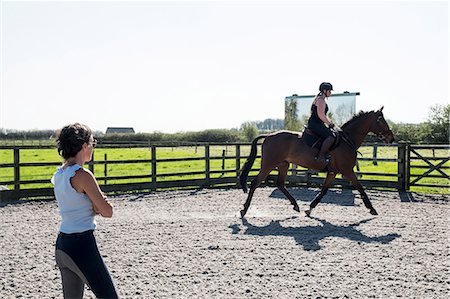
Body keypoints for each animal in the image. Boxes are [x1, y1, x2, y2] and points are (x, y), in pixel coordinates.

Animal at [239, 107, 394, 218]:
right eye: (380, 120)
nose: (391, 138)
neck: (347, 140)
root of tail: (268, 136)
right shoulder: (348, 171)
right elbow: (361, 188)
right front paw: (372, 209)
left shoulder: (332, 172)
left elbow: (323, 191)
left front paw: (309, 208)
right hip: (268, 164)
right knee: (255, 183)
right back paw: (244, 210)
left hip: (283, 164)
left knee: (281, 184)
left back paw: (296, 206)